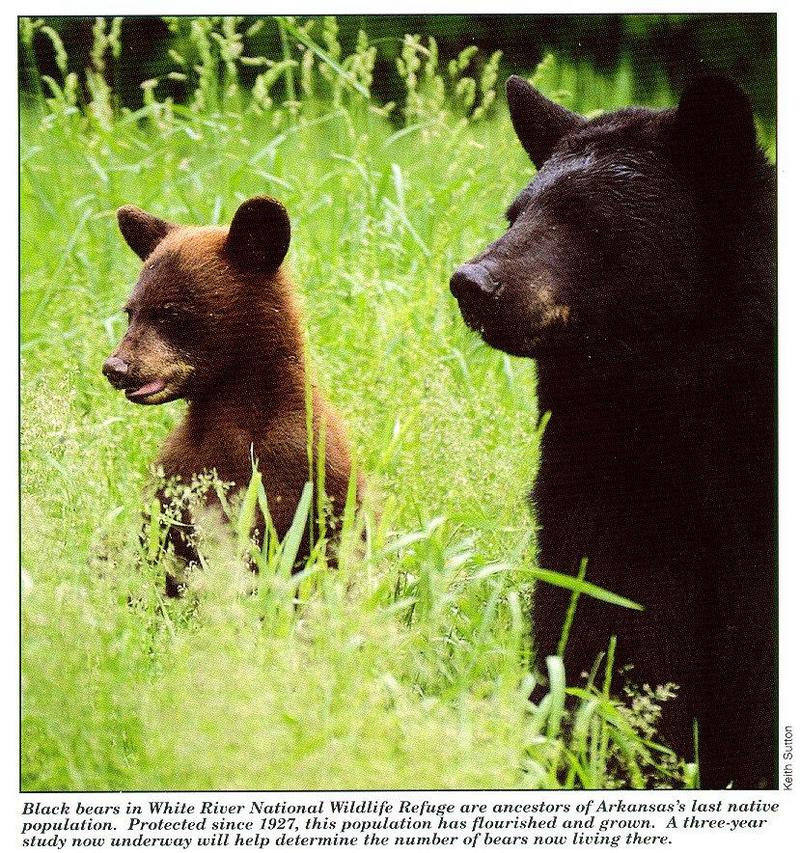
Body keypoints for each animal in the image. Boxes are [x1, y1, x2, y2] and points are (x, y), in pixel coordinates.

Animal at [104, 195, 360, 592]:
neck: (240, 413)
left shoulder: (307, 474)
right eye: (131, 312)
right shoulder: (178, 480)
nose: (115, 367)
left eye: (170, 313)